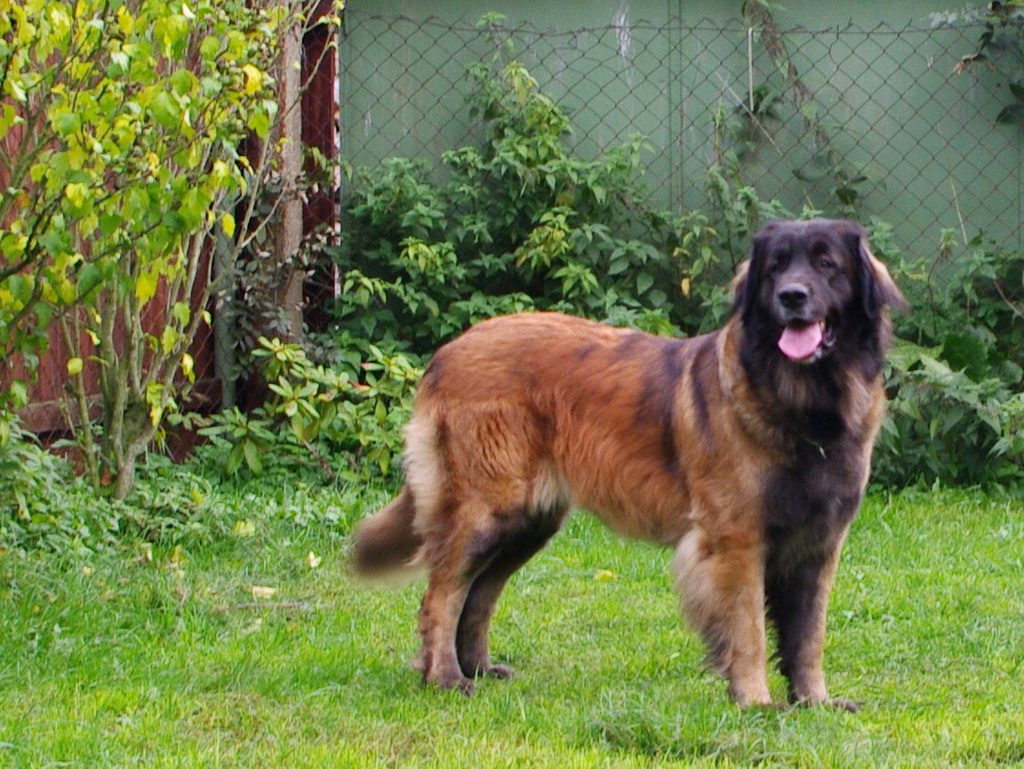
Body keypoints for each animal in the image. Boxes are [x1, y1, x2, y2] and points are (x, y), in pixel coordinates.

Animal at [352, 217, 905, 708]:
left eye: (826, 264)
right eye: (775, 267)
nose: (792, 296)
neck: (800, 405)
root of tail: (446, 353)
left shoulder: (819, 545)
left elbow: (808, 636)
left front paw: (814, 702)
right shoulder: (736, 539)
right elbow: (748, 629)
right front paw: (755, 701)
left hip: (529, 521)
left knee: (480, 592)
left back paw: (479, 669)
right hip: (488, 510)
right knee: (443, 593)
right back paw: (445, 678)